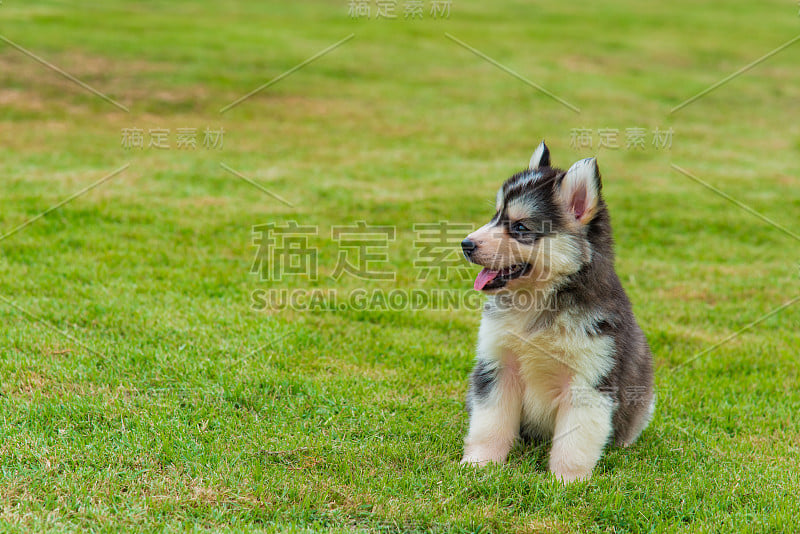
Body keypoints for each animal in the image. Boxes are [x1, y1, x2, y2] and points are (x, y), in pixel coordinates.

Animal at [460, 143, 652, 486]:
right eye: (495, 216)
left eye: (520, 227)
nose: (465, 244)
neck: (535, 303)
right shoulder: (498, 365)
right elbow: (489, 423)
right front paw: (479, 465)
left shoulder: (589, 379)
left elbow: (574, 442)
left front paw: (566, 482)